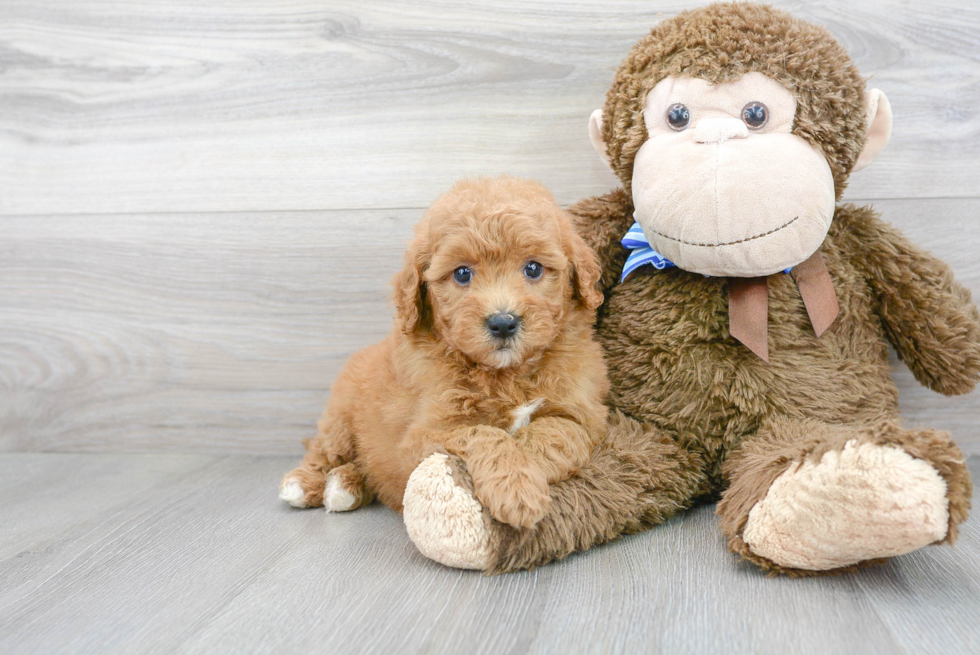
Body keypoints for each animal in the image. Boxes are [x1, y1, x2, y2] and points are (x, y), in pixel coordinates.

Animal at [278, 174, 612, 528]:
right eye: (462, 273)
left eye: (533, 268)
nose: (503, 323)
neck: (504, 373)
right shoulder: (426, 433)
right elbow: (483, 434)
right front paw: (516, 489)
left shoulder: (584, 416)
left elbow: (549, 432)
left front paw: (522, 481)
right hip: (340, 414)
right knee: (325, 449)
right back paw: (306, 483)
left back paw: (346, 485)